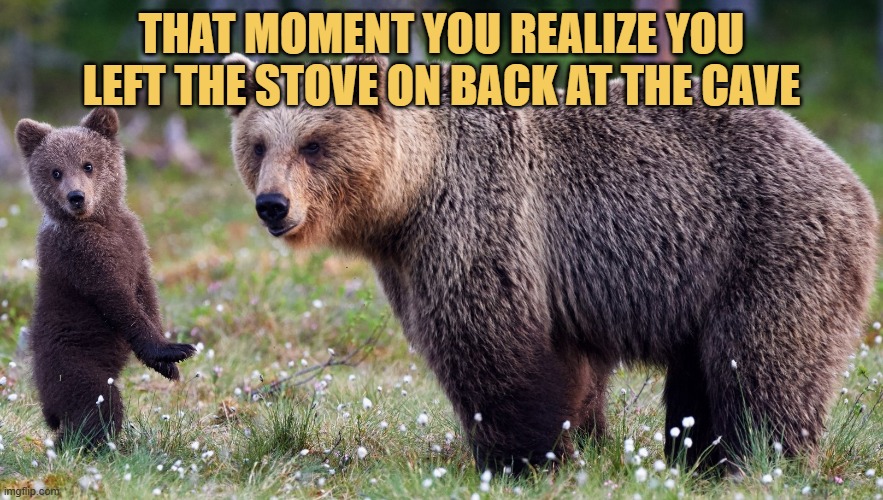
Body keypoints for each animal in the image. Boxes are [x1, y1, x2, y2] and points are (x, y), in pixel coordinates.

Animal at [15, 108, 197, 447]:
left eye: (88, 164)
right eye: (55, 171)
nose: (76, 197)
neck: (99, 221)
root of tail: (46, 405)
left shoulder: (134, 242)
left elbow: (146, 293)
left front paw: (168, 366)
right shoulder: (82, 257)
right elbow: (118, 300)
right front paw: (175, 350)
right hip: (73, 363)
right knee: (98, 405)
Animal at [223, 53, 878, 474]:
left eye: (314, 144)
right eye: (259, 145)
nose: (273, 205)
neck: (407, 202)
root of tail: (851, 180)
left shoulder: (481, 222)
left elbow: (493, 346)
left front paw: (521, 458)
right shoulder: (414, 260)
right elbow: (570, 368)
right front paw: (581, 441)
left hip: (767, 251)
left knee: (761, 364)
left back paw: (759, 459)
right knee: (703, 373)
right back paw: (701, 458)